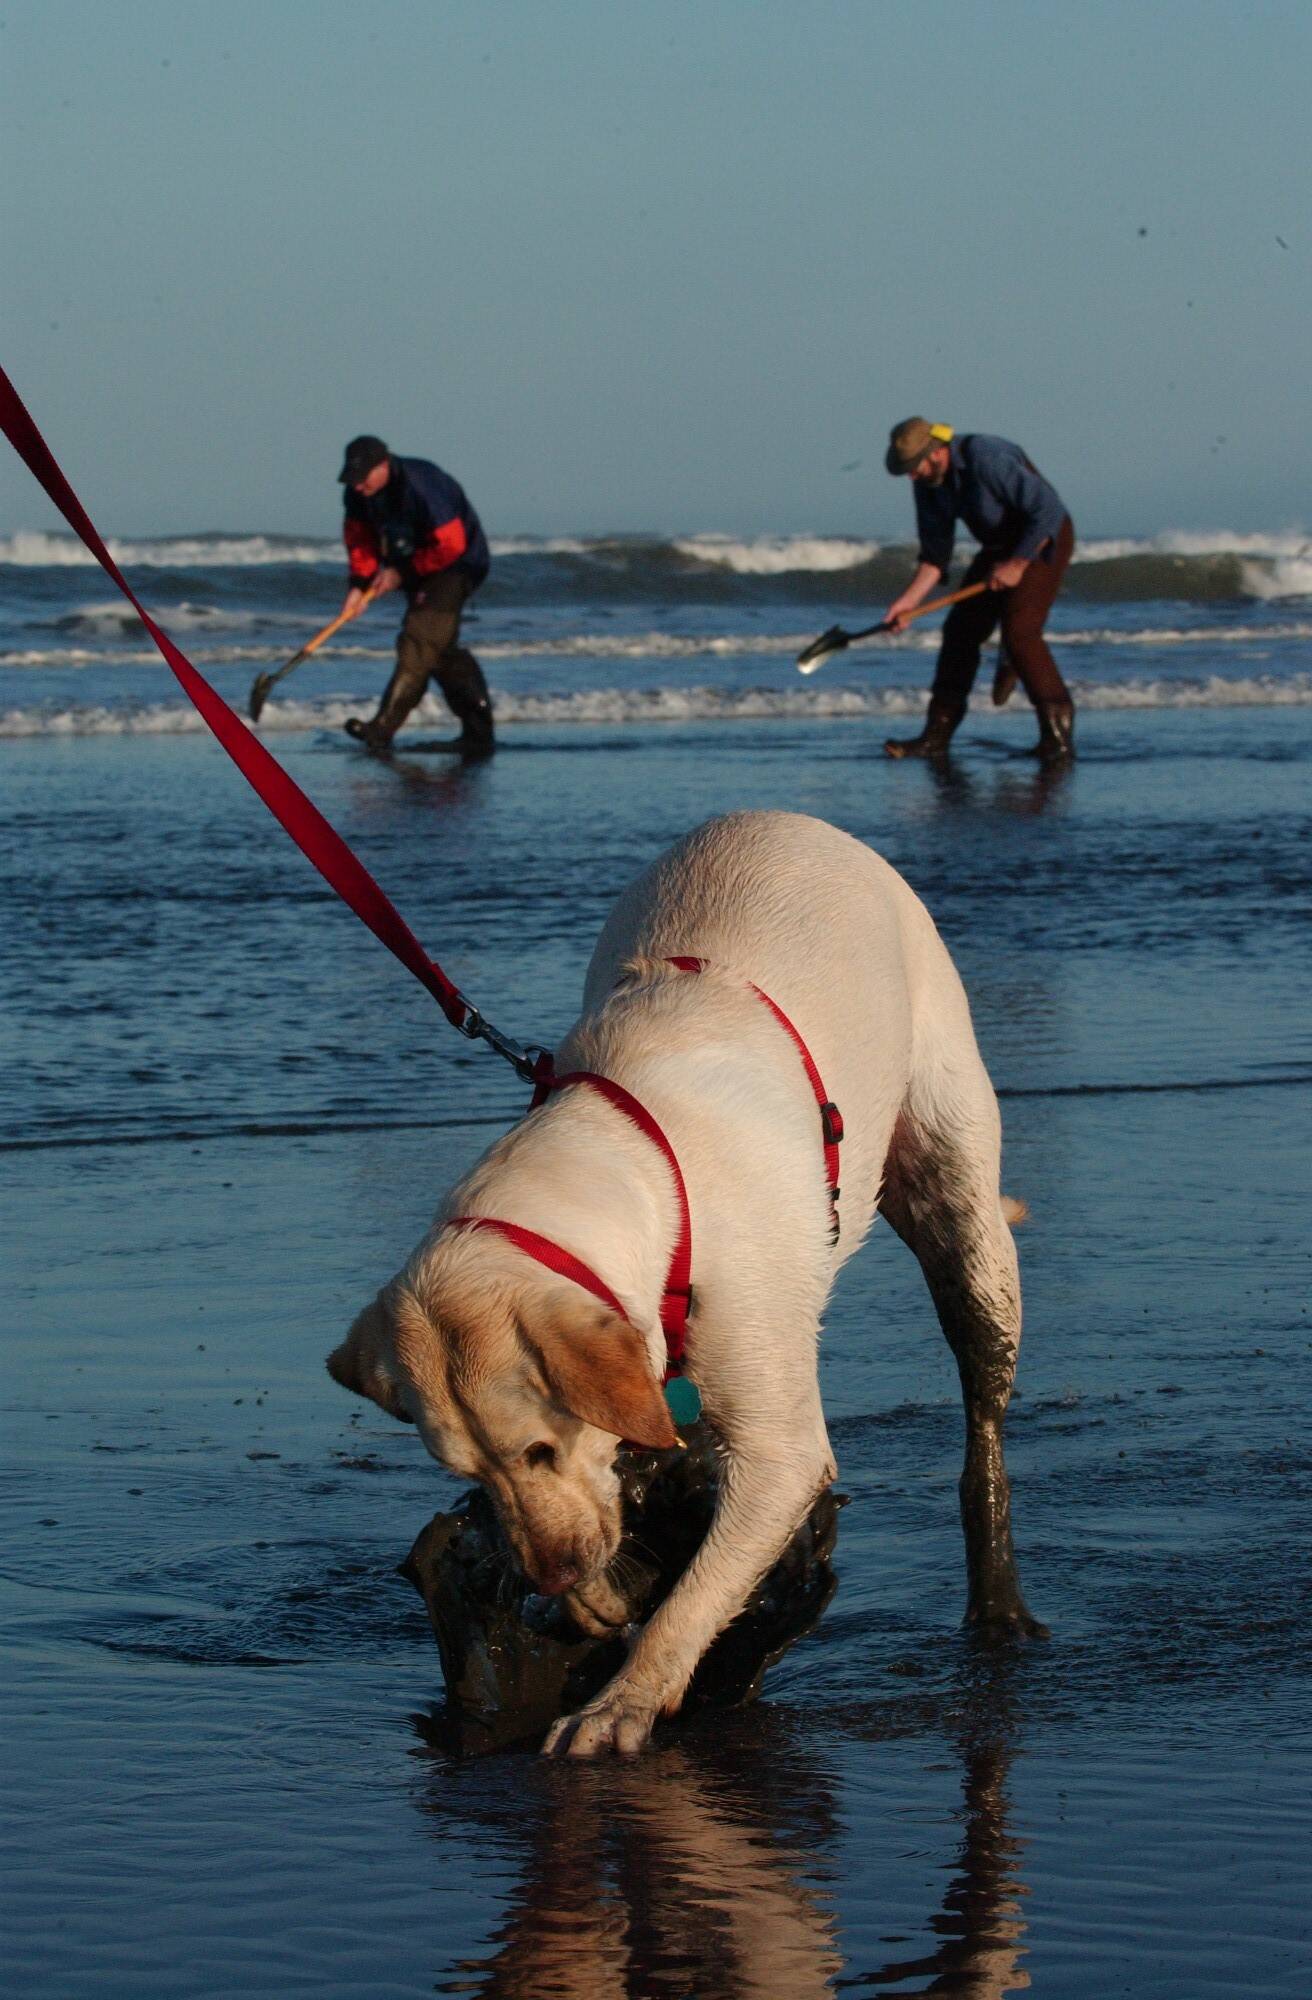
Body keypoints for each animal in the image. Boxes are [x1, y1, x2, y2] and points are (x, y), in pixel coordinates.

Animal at [330, 808, 1048, 1752]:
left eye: (537, 1448)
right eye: (467, 1474)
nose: (550, 1578)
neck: (639, 1160)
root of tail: (786, 817)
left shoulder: (780, 1445)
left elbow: (696, 1590)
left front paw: (622, 1701)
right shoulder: (636, 1387)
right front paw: (599, 1599)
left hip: (959, 1193)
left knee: (982, 1413)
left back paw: (997, 1600)